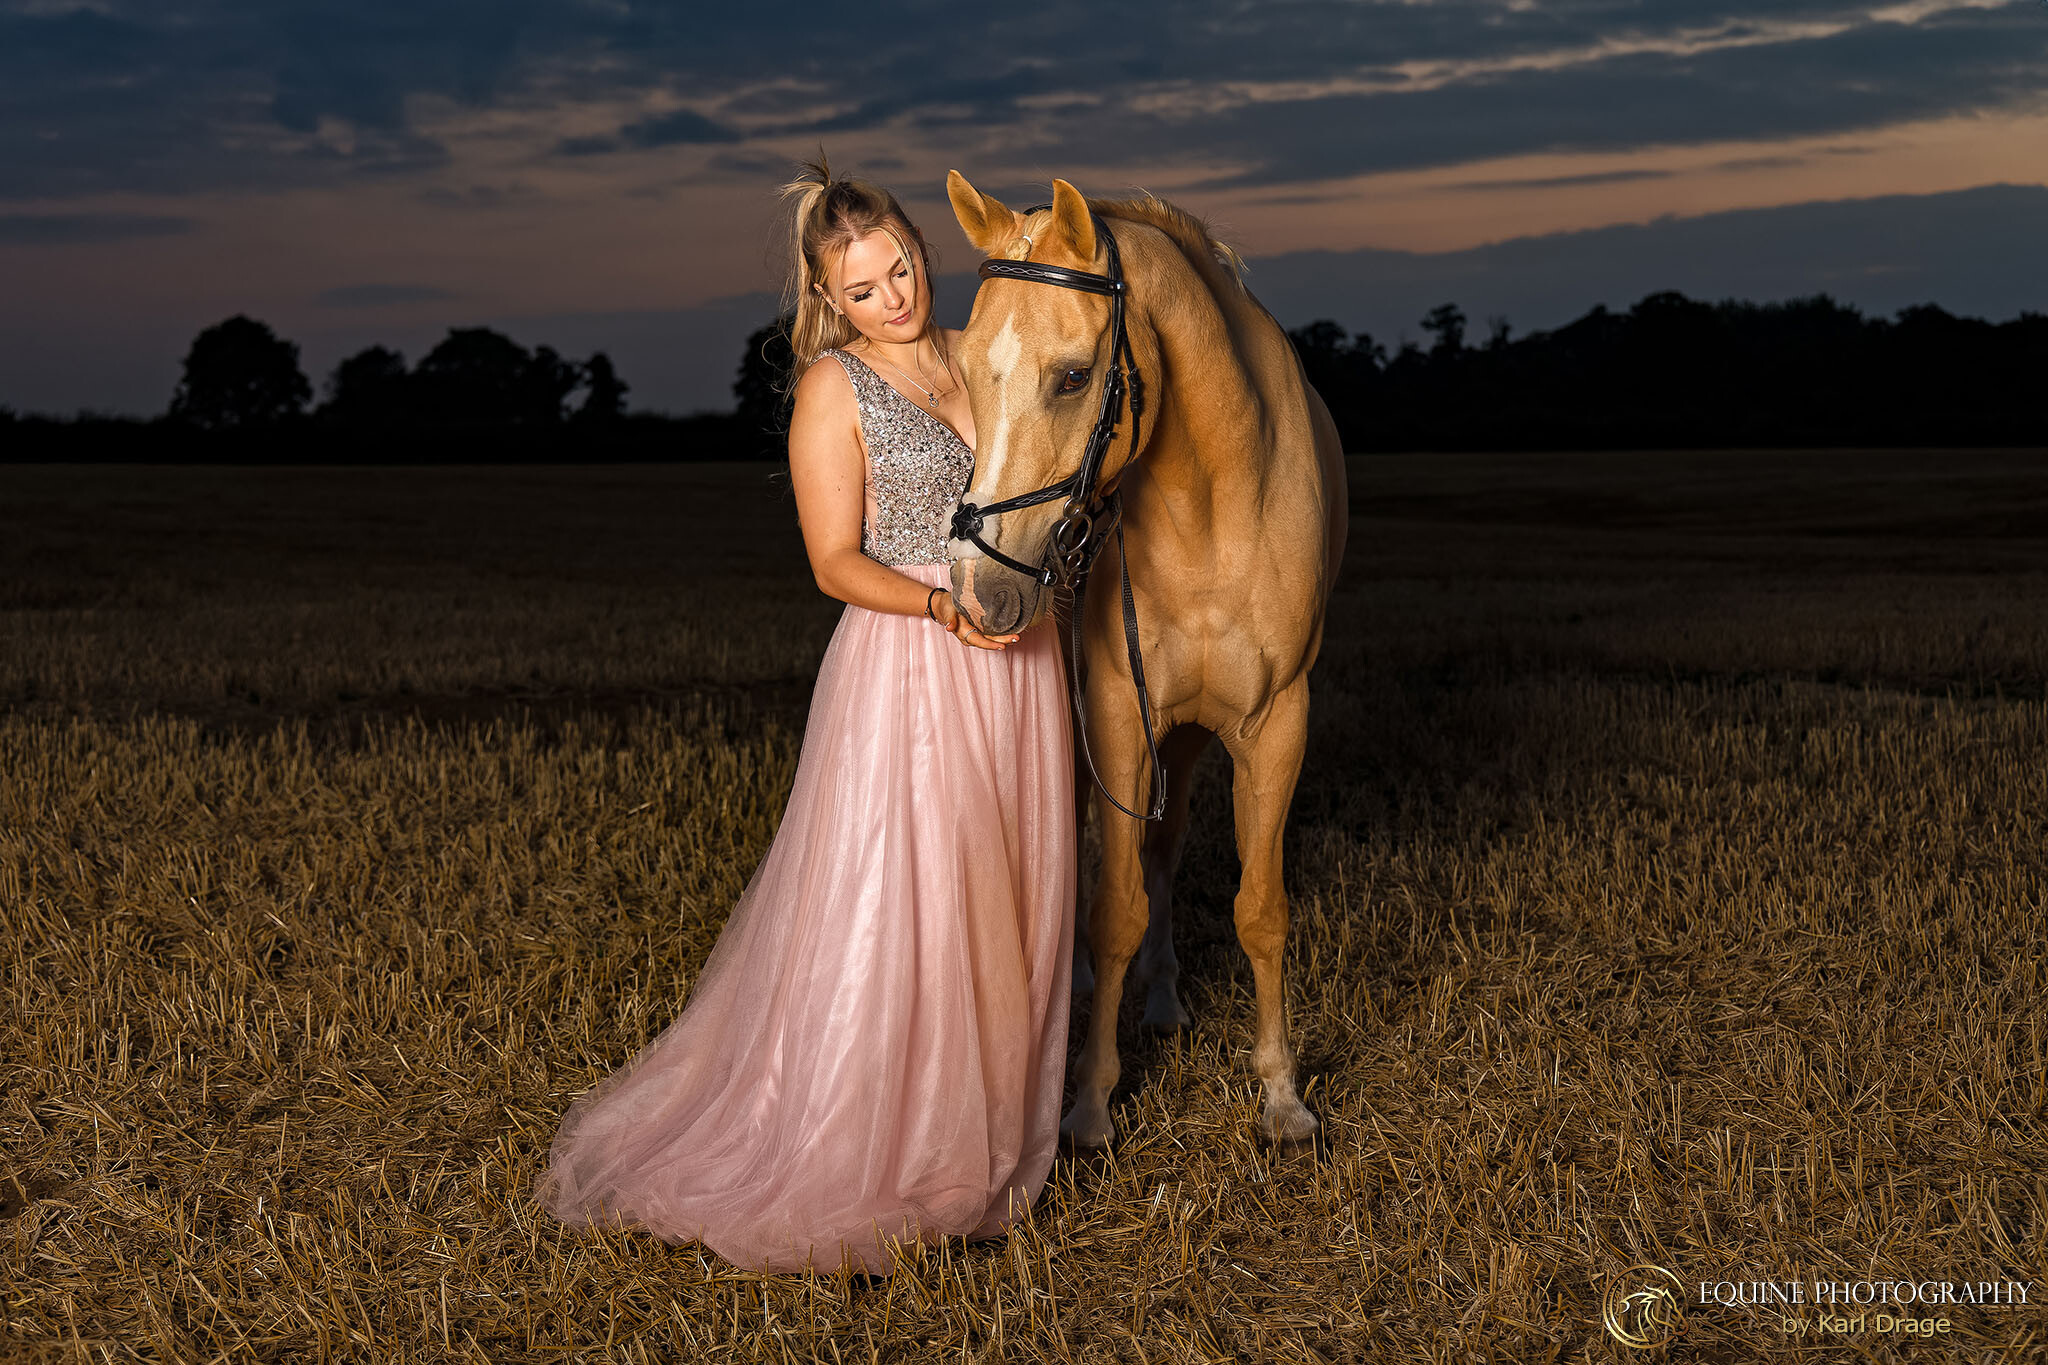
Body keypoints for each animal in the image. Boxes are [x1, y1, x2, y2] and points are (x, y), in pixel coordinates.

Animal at [937, 173, 1343, 1154]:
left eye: (1074, 376)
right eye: (964, 373)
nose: (976, 589)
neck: (1211, 506)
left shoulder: (1277, 723)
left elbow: (1259, 907)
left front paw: (1281, 1093)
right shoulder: (1121, 714)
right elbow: (1115, 906)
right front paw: (1089, 1100)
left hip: (1190, 736)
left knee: (1164, 848)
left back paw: (1161, 999)